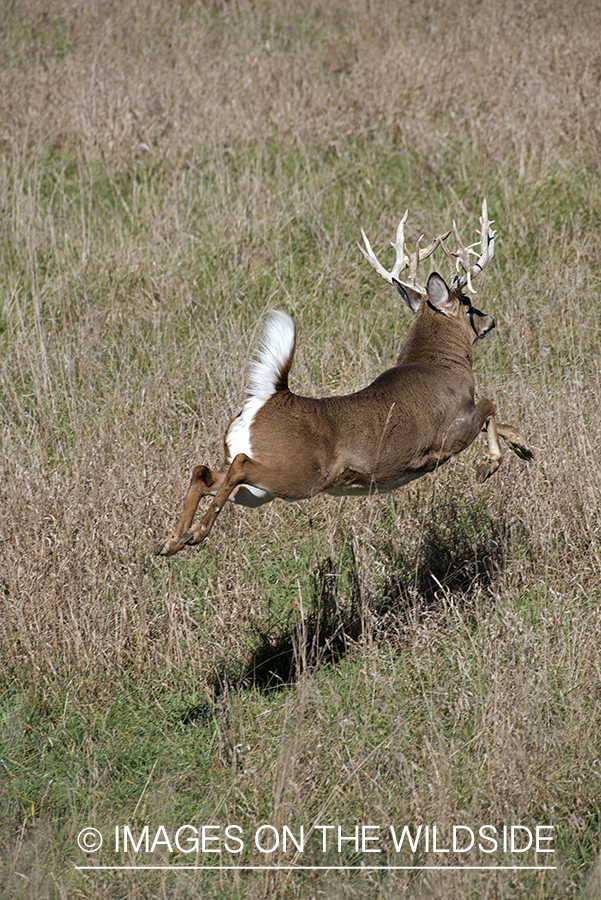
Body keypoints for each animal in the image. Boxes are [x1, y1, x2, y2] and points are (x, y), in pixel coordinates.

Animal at [156, 200, 536, 560]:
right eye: (468, 302)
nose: (490, 320)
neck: (440, 363)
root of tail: (270, 397)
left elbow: (497, 416)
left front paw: (522, 445)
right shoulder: (452, 429)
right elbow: (489, 405)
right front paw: (491, 463)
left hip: (257, 491)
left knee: (203, 472)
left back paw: (172, 540)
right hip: (296, 473)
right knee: (237, 466)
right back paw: (195, 533)